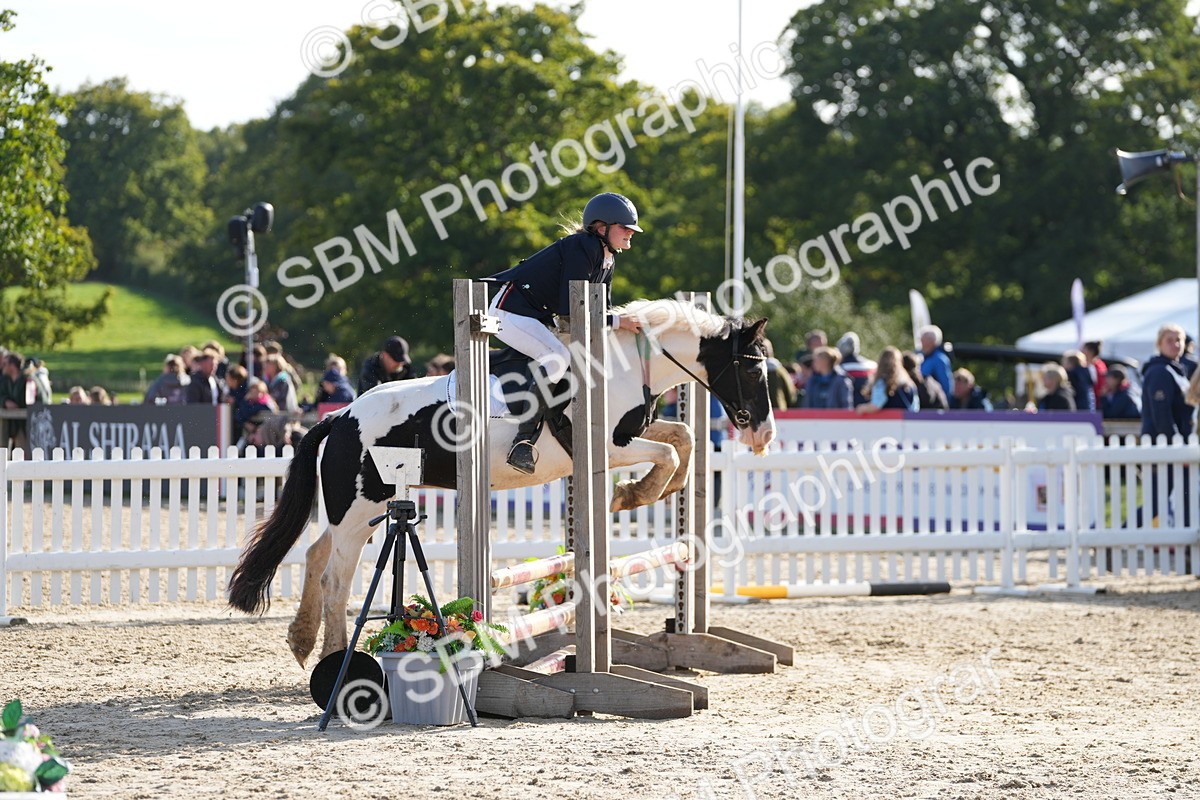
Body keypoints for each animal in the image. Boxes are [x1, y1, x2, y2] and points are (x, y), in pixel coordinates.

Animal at [228, 298, 776, 666]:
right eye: (752, 372)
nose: (764, 434)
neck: (623, 367)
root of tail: (339, 416)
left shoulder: (629, 435)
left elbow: (682, 438)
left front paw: (645, 493)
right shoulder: (609, 447)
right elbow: (668, 451)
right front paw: (632, 495)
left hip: (358, 511)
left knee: (316, 552)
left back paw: (302, 642)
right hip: (361, 507)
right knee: (335, 579)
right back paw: (334, 661)